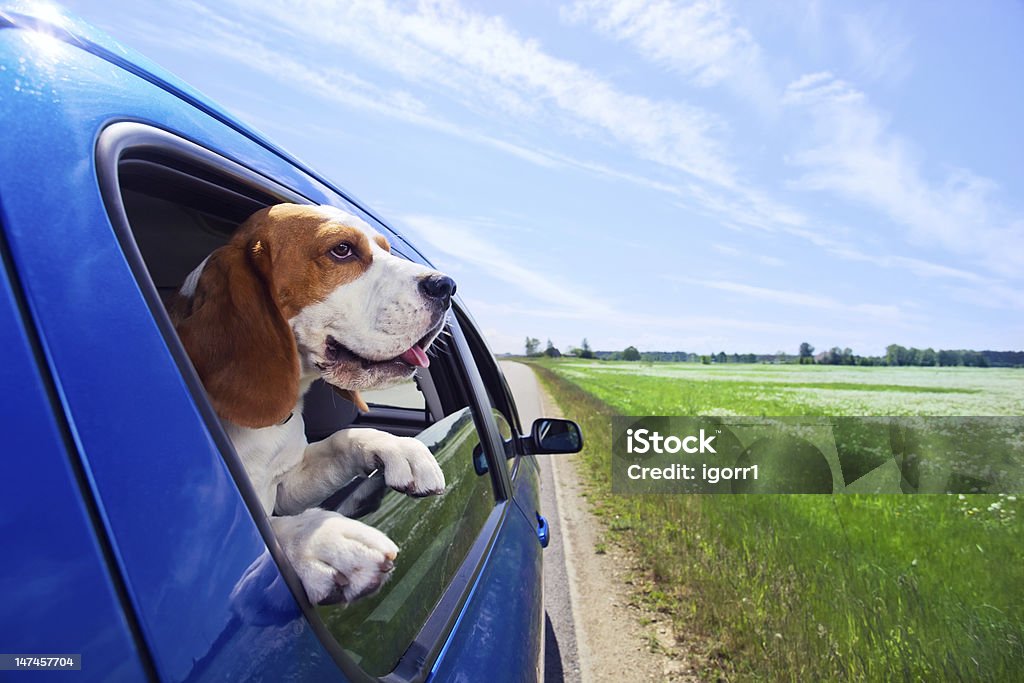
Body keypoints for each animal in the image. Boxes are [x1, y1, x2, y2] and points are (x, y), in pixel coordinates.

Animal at [172, 202, 452, 602]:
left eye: (386, 248)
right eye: (342, 250)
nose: (446, 286)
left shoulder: (287, 485)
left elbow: (342, 439)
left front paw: (401, 448)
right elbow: (271, 531)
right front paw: (320, 540)